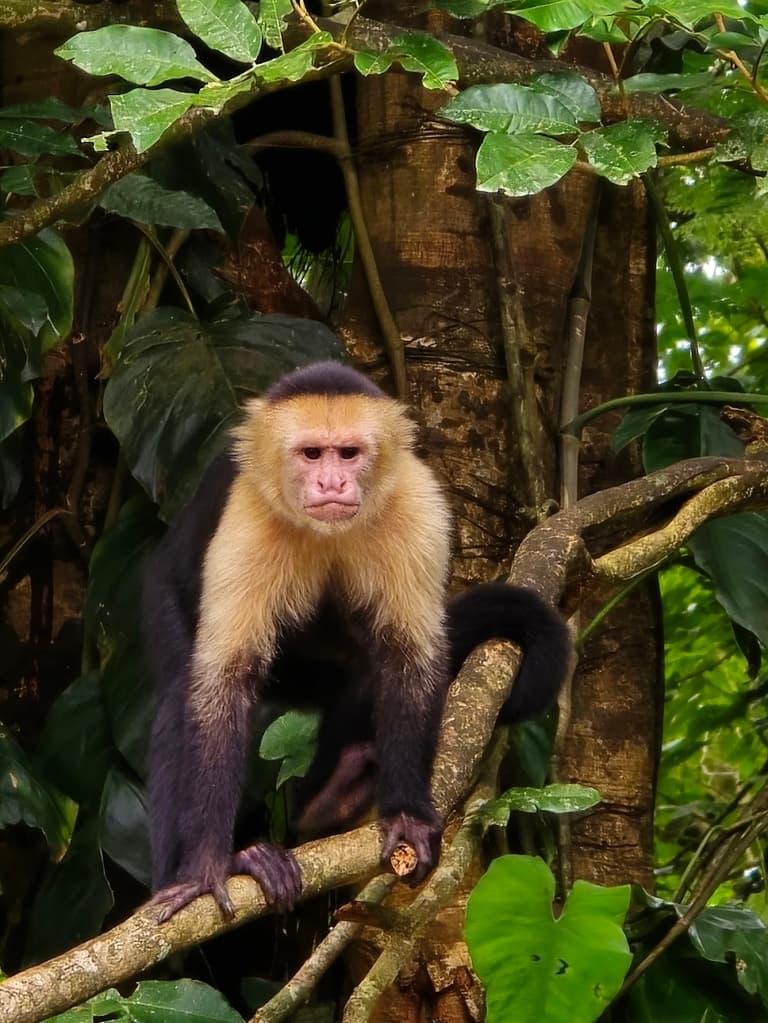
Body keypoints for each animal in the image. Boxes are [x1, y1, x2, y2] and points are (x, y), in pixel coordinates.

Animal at [143, 361, 570, 923]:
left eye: (348, 453)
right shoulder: (248, 513)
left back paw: (331, 798)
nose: (332, 481)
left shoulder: (417, 499)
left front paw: (406, 815)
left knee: (366, 671)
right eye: (311, 454)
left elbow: (407, 657)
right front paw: (208, 868)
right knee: (179, 689)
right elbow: (225, 683)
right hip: (162, 597)